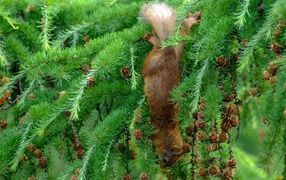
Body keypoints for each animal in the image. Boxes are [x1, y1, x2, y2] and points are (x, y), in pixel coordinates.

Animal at [141, 3, 201, 169]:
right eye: (167, 160)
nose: (161, 167)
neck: (168, 133)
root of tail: (170, 51)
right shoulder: (155, 130)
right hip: (149, 63)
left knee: (184, 26)